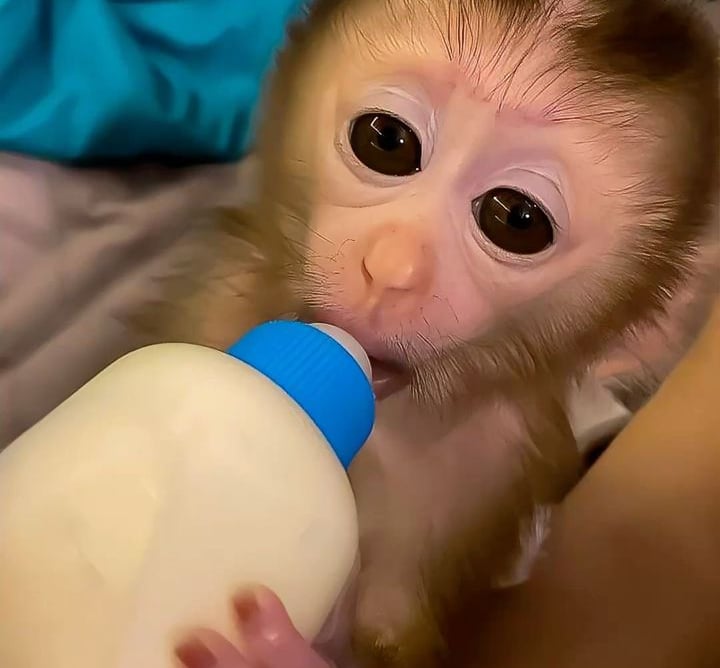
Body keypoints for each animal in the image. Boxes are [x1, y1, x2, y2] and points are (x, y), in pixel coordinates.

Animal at [136, 0, 719, 665]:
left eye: (517, 219)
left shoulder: (484, 476)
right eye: (387, 141)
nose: (391, 270)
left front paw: (269, 647)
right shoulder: (217, 302)